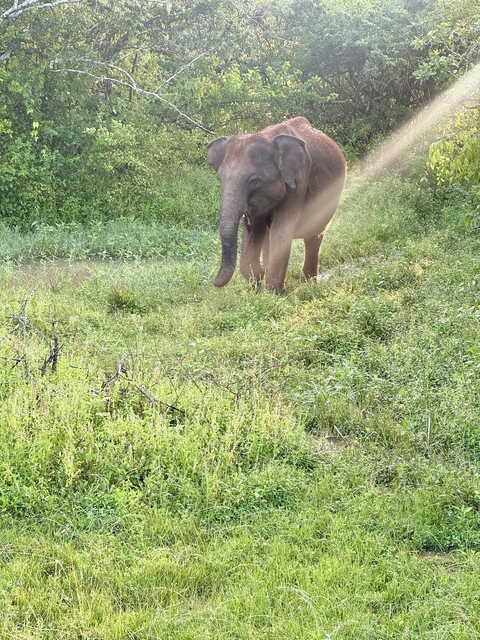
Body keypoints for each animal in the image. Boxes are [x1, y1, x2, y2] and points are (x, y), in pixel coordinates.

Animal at [207, 116, 347, 294]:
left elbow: (281, 231)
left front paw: (273, 293)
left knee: (314, 234)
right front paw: (260, 277)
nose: (213, 281)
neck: (268, 138)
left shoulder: (298, 181)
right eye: (220, 179)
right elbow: (255, 231)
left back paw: (307, 282)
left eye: (253, 181)